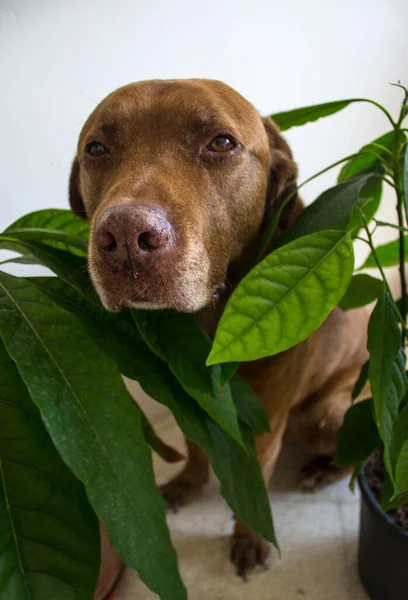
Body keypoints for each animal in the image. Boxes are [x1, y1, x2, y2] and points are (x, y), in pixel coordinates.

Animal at [70, 79, 370, 576]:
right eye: (96, 148)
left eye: (222, 143)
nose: (127, 236)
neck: (208, 326)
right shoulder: (183, 396)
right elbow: (194, 449)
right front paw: (187, 484)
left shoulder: (266, 421)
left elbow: (258, 482)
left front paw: (248, 537)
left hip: (328, 413)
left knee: (358, 450)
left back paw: (321, 470)